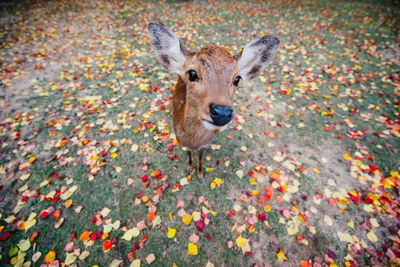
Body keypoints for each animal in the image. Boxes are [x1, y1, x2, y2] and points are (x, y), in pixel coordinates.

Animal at [147, 22, 278, 182]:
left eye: (237, 79)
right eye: (192, 73)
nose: (222, 112)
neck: (193, 140)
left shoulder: (205, 144)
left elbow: (200, 158)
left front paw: (200, 175)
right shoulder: (183, 142)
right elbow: (189, 154)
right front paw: (189, 168)